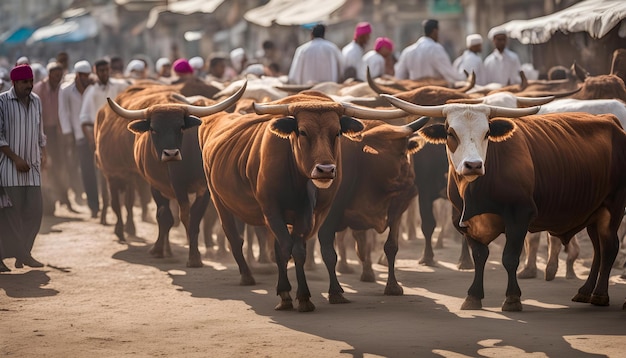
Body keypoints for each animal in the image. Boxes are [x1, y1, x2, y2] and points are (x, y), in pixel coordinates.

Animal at [197, 91, 408, 312]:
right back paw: (247, 276)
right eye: (303, 131)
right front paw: (286, 294)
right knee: (234, 237)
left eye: (337, 132)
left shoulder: (311, 216)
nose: (325, 170)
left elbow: (298, 250)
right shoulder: (271, 210)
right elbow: (285, 248)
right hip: (218, 200)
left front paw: (305, 297)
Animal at [382, 94, 624, 310]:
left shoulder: (519, 216)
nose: (473, 165)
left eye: (487, 133)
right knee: (599, 249)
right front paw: (473, 297)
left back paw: (600, 295)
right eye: (451, 133)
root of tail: (611, 120)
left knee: (610, 247)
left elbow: (510, 258)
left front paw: (512, 299)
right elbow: (479, 256)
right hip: (595, 211)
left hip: (614, 206)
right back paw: (585, 291)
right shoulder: (464, 220)